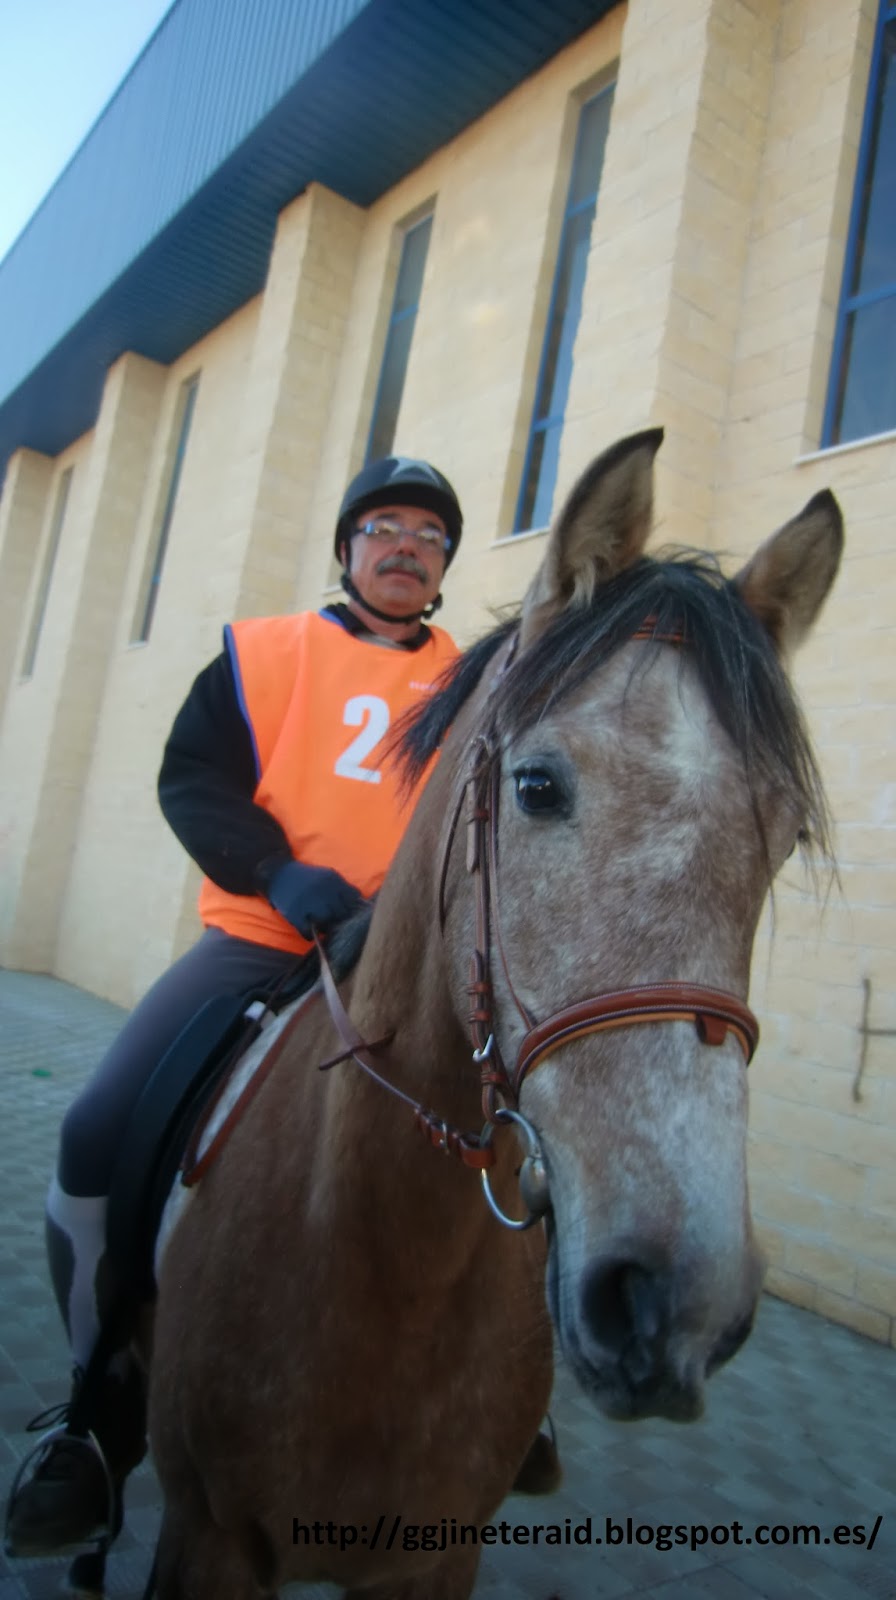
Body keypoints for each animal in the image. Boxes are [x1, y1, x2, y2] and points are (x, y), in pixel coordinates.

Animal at [146, 428, 842, 1599]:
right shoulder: (206, 1537)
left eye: (783, 835)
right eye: (536, 785)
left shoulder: (432, 1555)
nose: (672, 1304)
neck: (392, 1258)